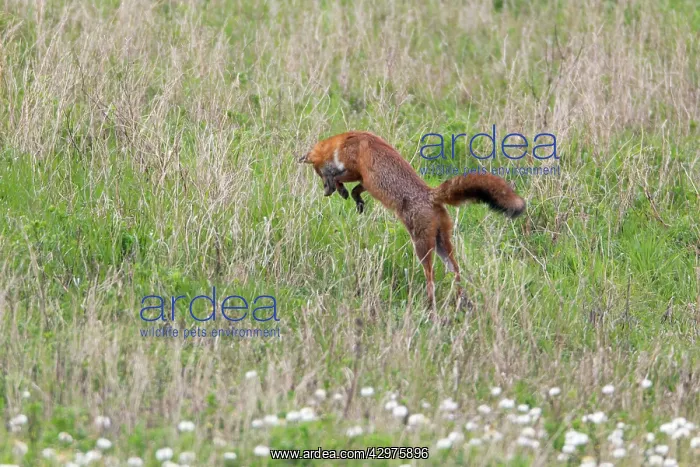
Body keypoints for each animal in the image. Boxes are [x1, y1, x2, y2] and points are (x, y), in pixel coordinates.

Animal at [299, 131, 526, 315]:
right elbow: (357, 188)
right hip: (443, 245)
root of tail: (431, 195)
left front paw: (342, 190)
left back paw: (430, 307)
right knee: (456, 272)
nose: (325, 193)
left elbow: (342, 178)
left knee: (431, 278)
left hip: (422, 247)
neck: (344, 141)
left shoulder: (355, 168)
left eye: (319, 174)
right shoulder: (366, 180)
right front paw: (355, 199)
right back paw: (463, 302)